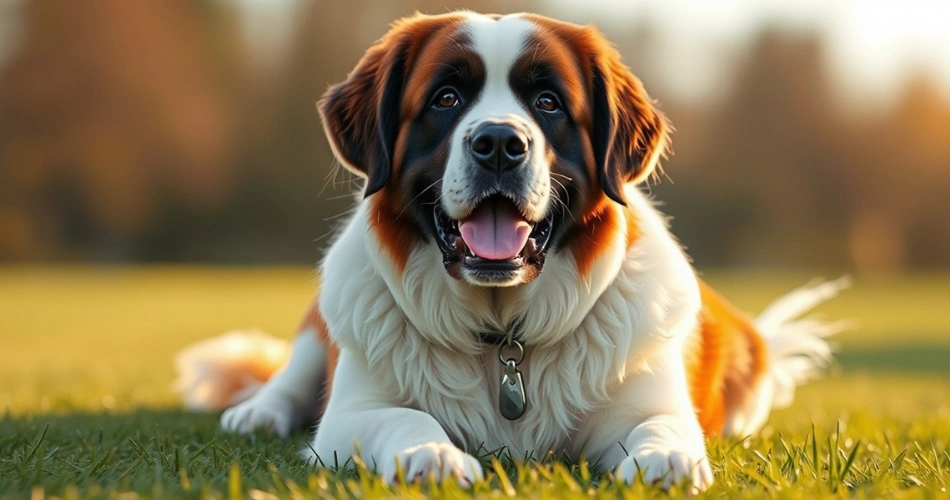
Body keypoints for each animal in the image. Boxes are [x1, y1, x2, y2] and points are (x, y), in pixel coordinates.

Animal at [175, 11, 852, 492]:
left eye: (548, 103)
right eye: (446, 98)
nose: (499, 143)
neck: (505, 337)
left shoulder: (646, 403)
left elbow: (660, 427)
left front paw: (667, 460)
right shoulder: (351, 415)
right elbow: (404, 417)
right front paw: (432, 455)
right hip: (320, 327)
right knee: (291, 375)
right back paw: (257, 413)